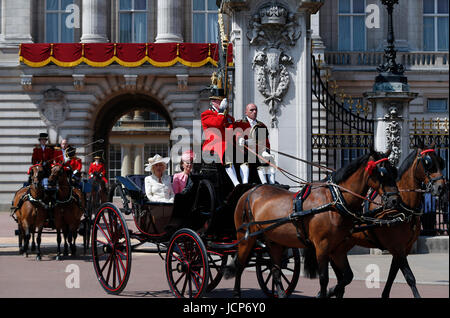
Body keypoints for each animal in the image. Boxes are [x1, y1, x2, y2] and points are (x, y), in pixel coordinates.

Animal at [225, 150, 400, 298]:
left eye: (394, 171)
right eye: (380, 173)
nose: (394, 200)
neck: (334, 200)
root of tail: (250, 191)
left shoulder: (337, 249)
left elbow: (347, 277)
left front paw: (330, 292)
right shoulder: (322, 246)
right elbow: (323, 278)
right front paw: (324, 293)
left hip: (274, 241)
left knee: (275, 269)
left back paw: (280, 294)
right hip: (246, 238)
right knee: (240, 265)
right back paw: (236, 294)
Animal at [326, 145, 446, 296]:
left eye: (441, 162)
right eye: (428, 163)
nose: (441, 187)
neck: (403, 206)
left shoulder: (403, 249)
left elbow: (392, 275)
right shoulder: (397, 247)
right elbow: (410, 277)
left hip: (343, 244)